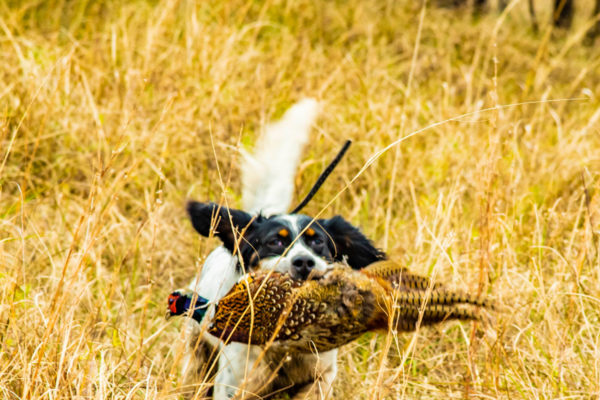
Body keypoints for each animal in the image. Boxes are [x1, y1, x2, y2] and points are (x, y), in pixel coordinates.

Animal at [182, 98, 384, 398]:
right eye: (275, 242)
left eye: (318, 242)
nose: (304, 263)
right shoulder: (234, 384)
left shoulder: (319, 377)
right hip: (196, 353)